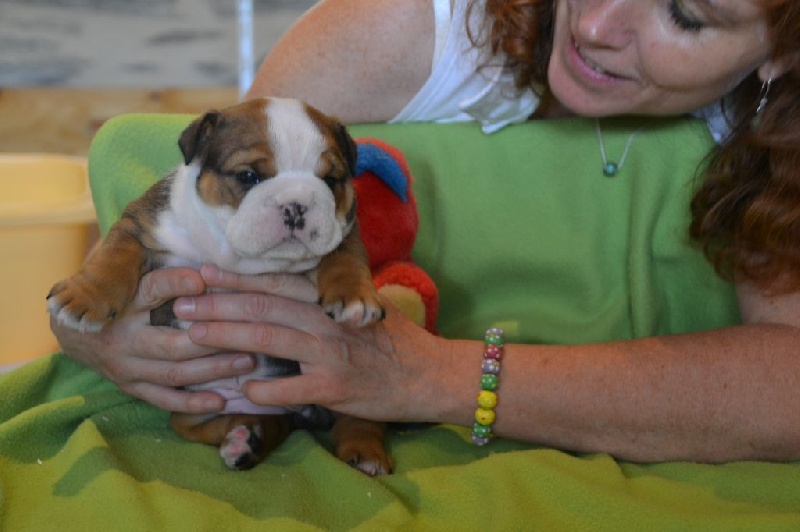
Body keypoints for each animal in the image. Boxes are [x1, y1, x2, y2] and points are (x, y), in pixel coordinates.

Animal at [47, 97, 392, 475]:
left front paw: (354, 296)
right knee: (203, 424)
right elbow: (115, 255)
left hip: (348, 388)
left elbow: (346, 259)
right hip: (200, 402)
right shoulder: (141, 224)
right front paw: (83, 297)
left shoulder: (344, 230)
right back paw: (247, 437)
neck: (236, 257)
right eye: (248, 176)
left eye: (330, 180)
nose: (296, 206)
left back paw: (363, 451)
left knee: (360, 416)